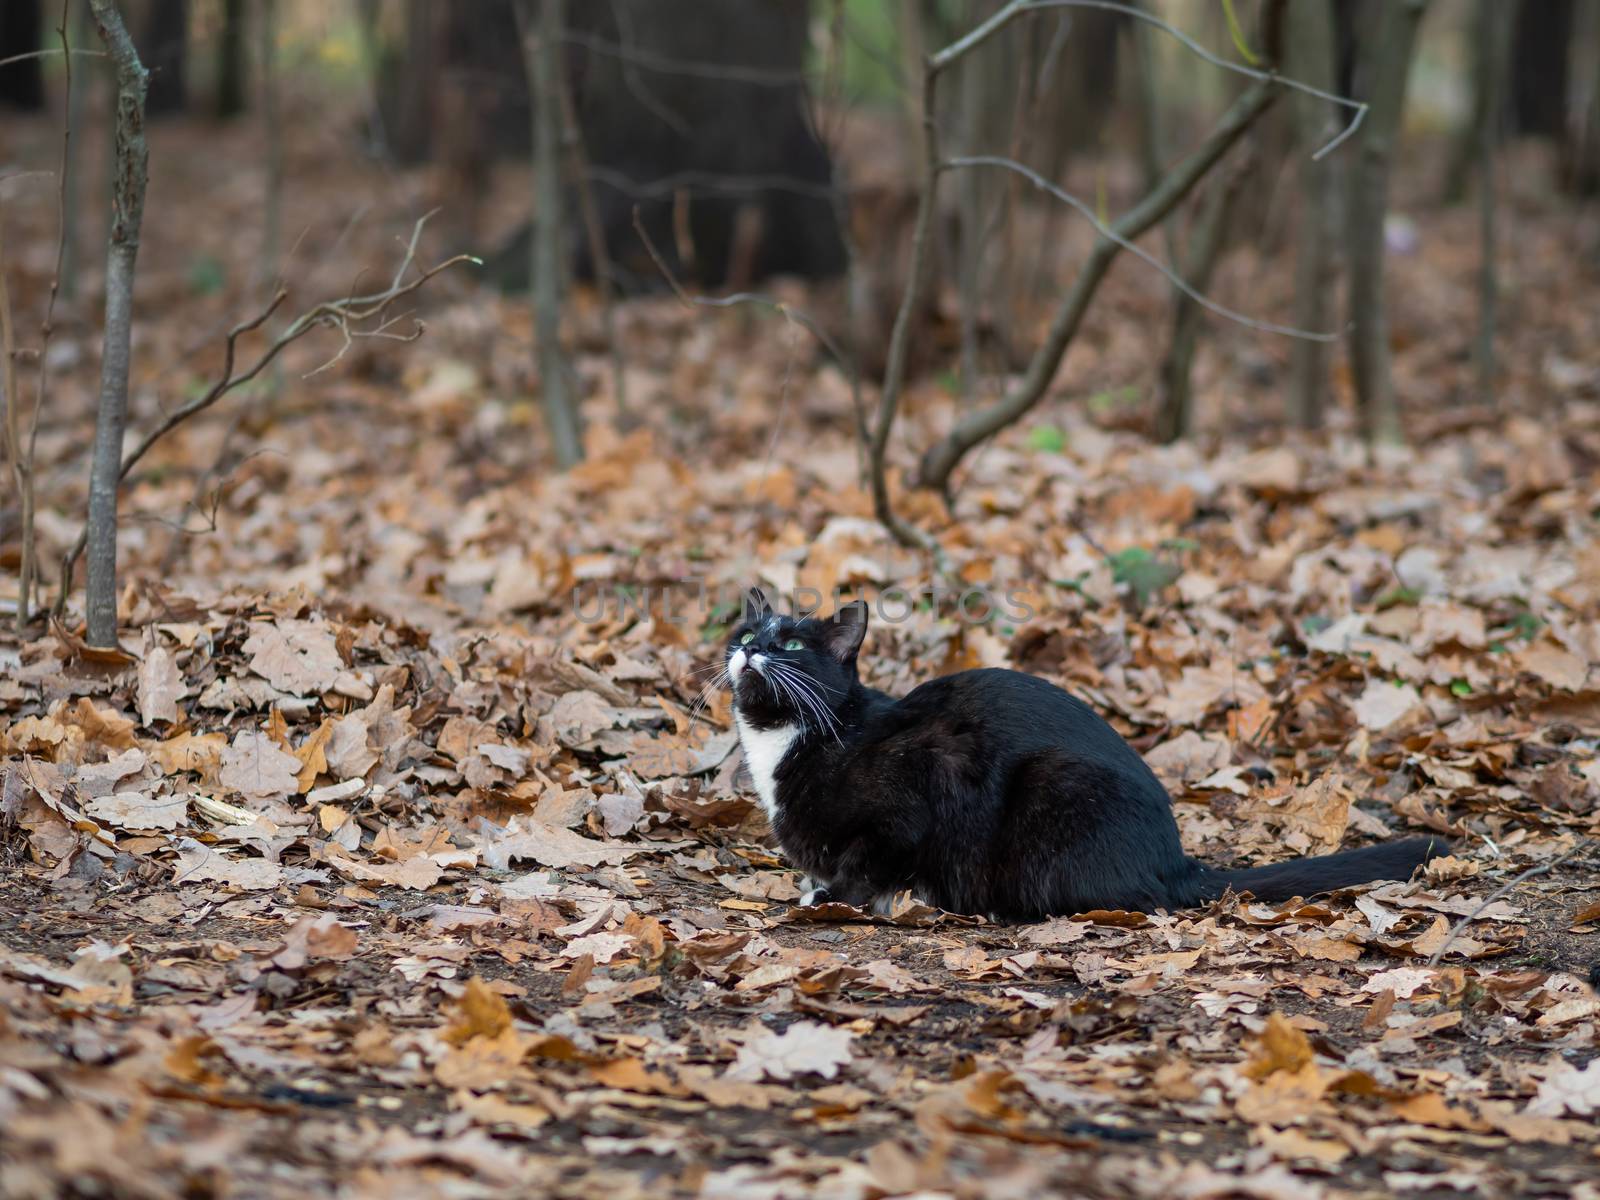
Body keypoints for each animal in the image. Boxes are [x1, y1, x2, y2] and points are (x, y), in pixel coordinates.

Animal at [729, 592, 1452, 921]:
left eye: (791, 645)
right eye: (742, 633)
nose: (750, 649)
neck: (790, 740)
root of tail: (1176, 861)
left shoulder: (916, 787)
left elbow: (868, 859)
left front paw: (833, 896)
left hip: (1054, 787)